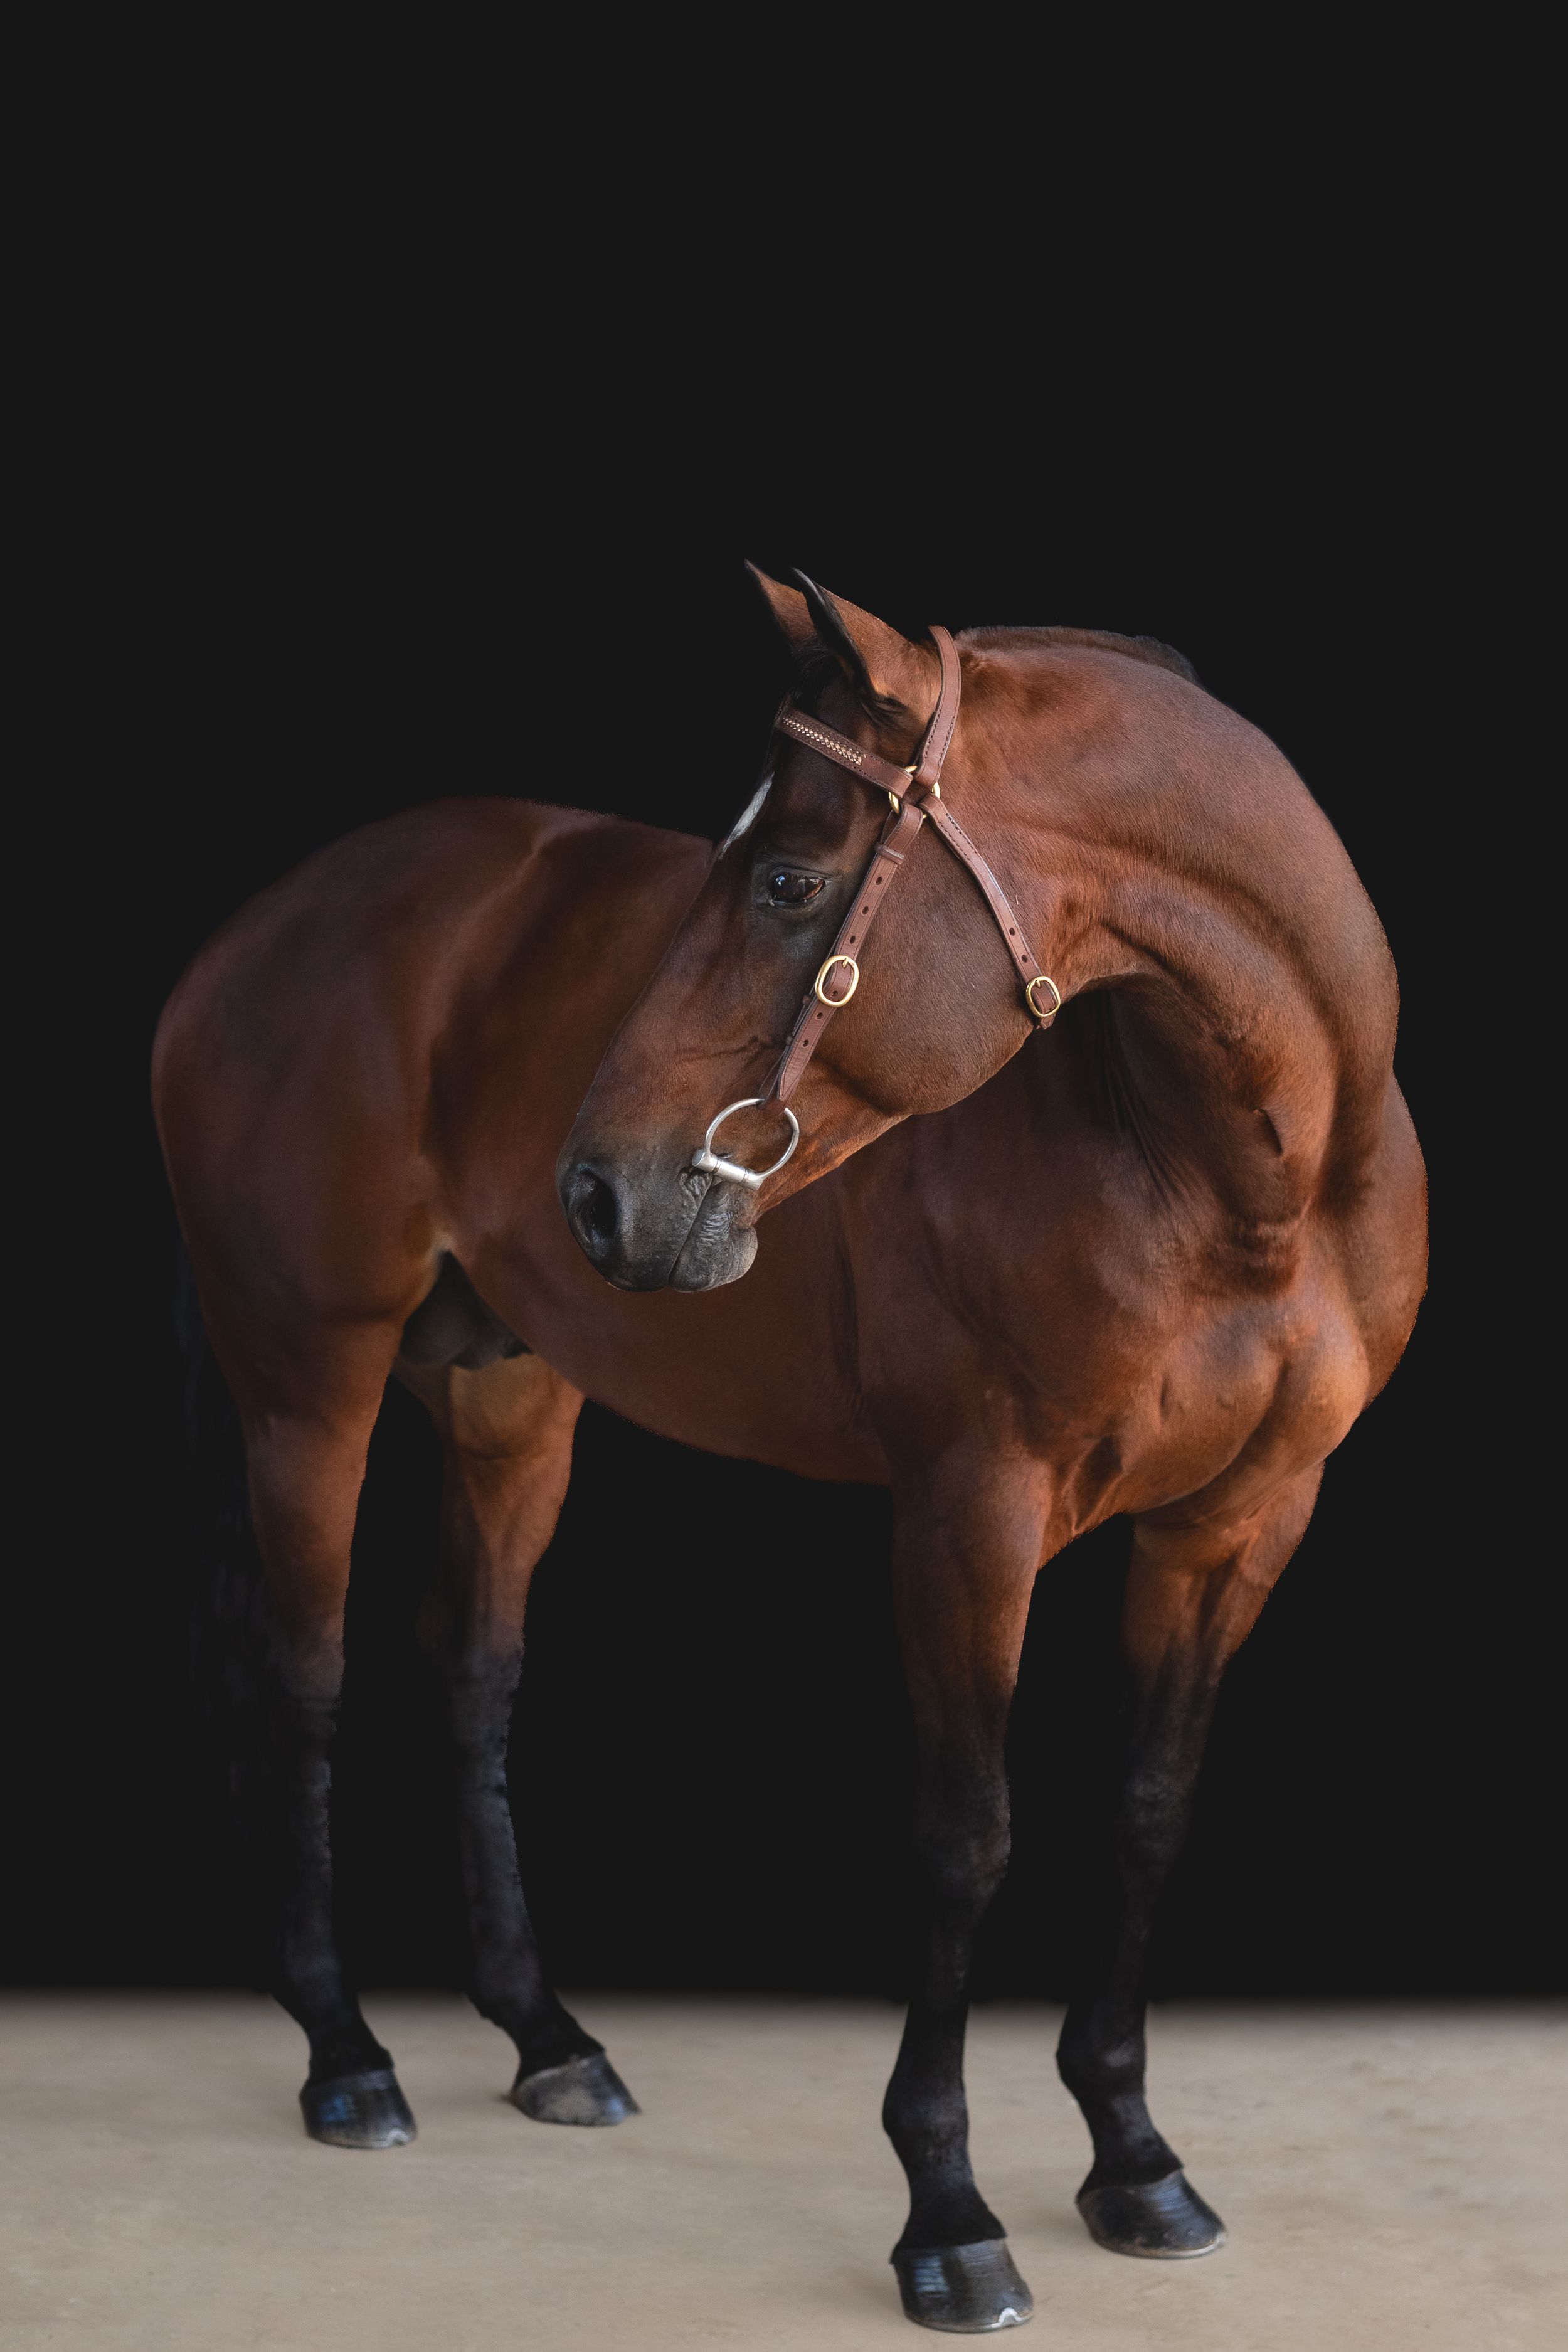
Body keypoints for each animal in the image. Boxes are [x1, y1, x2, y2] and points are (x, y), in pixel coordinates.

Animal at [153, 568, 1426, 2333]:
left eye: (788, 878)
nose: (597, 1189)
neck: (1230, 1174)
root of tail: (255, 930)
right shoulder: (969, 1514)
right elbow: (967, 1839)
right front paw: (948, 2214)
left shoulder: (1243, 1522)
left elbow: (1148, 1812)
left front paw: (1134, 2157)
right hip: (308, 1385)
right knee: (303, 1678)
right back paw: (346, 2056)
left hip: (509, 1396)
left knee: (471, 1674)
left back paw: (549, 2039)